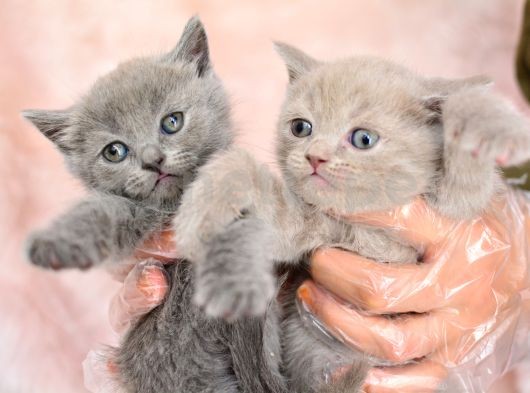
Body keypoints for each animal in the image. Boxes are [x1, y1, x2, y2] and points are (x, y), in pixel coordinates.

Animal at [21, 17, 284, 392]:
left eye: (172, 122)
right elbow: (102, 214)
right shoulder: (132, 209)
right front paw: (56, 242)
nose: (152, 159)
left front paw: (234, 285)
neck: (178, 205)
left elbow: (242, 230)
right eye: (114, 151)